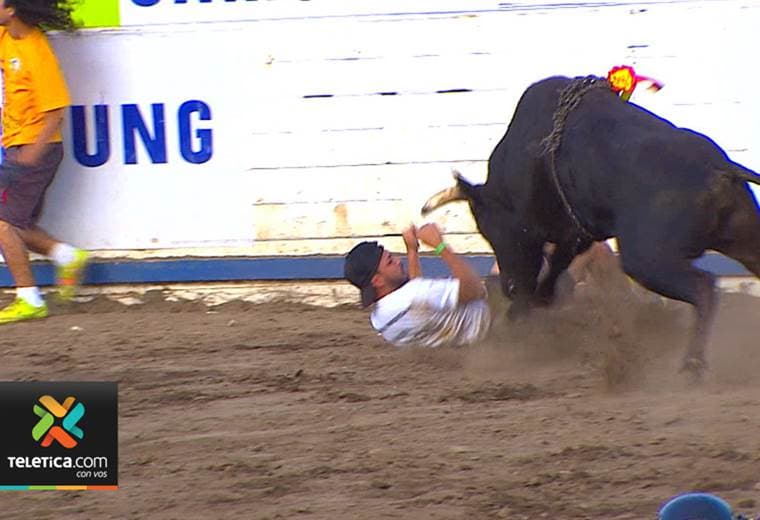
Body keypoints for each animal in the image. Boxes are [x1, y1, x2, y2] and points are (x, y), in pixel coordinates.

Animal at [420, 75, 760, 377]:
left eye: (488, 229)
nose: (509, 287)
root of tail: (718, 168)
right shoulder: (579, 229)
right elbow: (558, 262)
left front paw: (522, 311)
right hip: (744, 242)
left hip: (647, 260)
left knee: (704, 288)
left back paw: (692, 364)